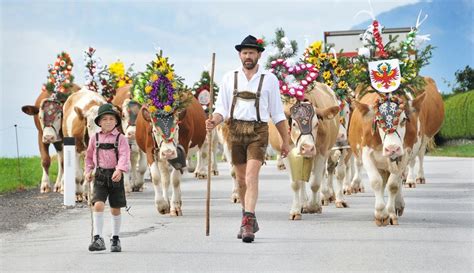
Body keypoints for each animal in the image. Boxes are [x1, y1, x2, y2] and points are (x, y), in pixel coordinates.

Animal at [268, 82, 338, 220]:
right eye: (294, 124)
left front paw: (313, 206)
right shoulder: (286, 153)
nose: (307, 148)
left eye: (317, 124)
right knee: (301, 180)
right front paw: (296, 210)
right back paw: (303, 202)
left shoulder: (321, 151)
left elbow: (315, 183)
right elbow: (296, 183)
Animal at [348, 89, 426, 225]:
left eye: (403, 120)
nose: (392, 149)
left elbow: (393, 185)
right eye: (378, 121)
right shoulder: (366, 154)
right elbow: (376, 182)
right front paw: (380, 213)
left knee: (396, 180)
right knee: (379, 179)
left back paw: (398, 204)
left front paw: (390, 213)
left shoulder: (405, 154)